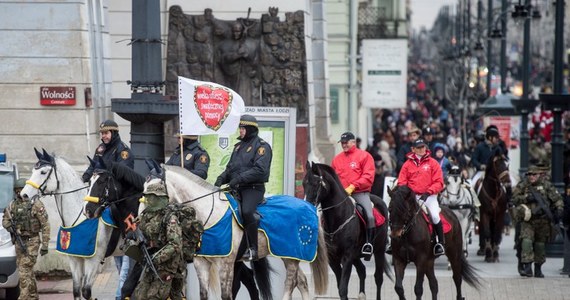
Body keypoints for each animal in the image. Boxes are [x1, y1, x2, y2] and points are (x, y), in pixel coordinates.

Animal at [20, 149, 118, 298]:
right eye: (32, 170)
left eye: (43, 172)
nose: (24, 195)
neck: (79, 217)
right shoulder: (74, 259)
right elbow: (77, 290)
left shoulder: (93, 260)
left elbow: (86, 291)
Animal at [144, 164, 326, 300]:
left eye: (155, 188)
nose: (145, 215)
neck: (209, 214)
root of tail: (308, 206)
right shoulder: (201, 263)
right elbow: (204, 294)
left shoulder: (226, 264)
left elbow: (226, 295)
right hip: (288, 254)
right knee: (301, 281)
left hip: (291, 256)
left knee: (290, 283)